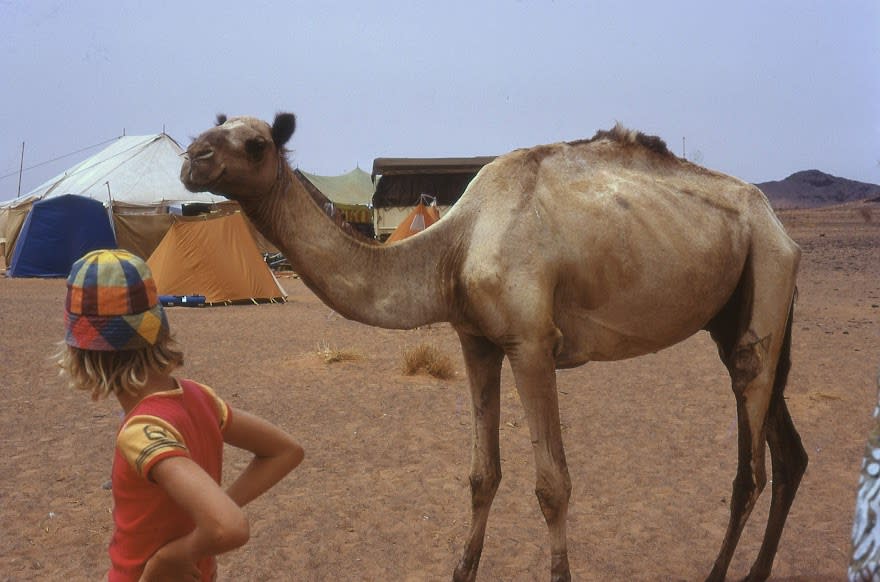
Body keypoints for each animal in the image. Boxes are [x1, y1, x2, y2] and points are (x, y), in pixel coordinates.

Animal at [182, 114, 808, 582]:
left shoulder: (531, 343)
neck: (454, 250)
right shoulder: (476, 341)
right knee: (789, 453)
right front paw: (462, 569)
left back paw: (722, 570)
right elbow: (483, 474)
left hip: (765, 278)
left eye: (256, 143)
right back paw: (759, 570)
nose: (192, 158)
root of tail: (781, 229)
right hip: (739, 313)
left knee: (750, 467)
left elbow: (553, 485)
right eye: (214, 126)